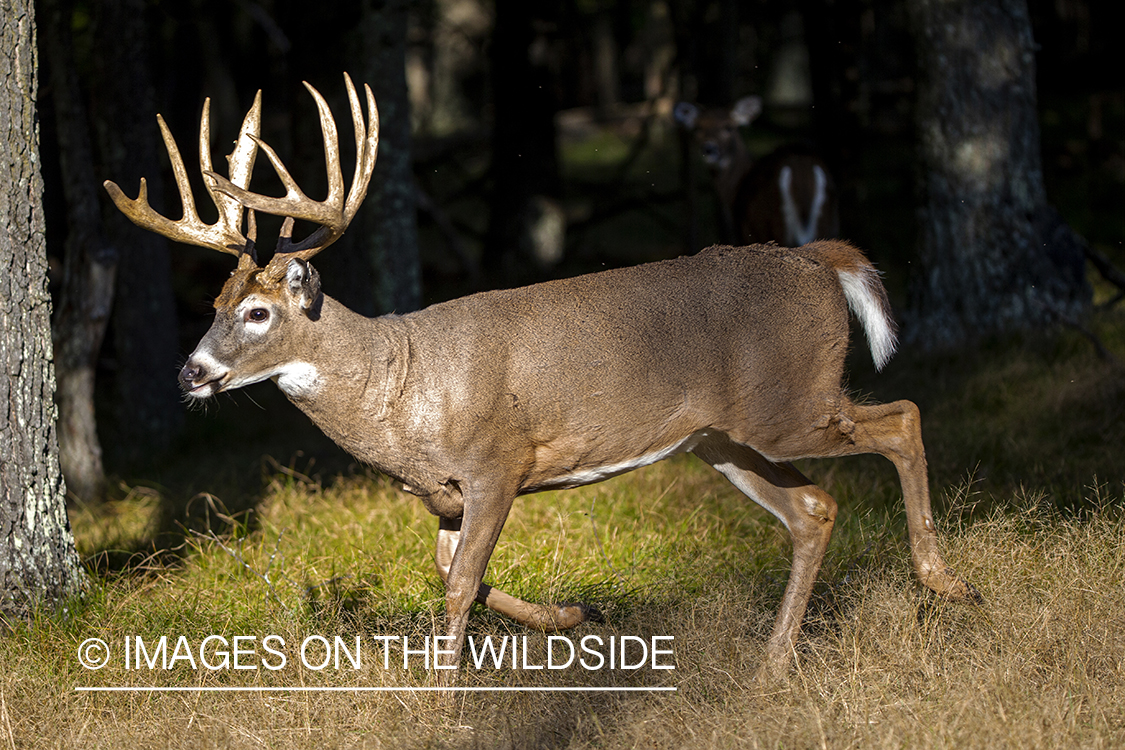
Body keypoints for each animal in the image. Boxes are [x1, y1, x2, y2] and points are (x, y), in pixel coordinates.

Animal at [670, 95, 841, 247]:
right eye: (698, 128)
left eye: (728, 127)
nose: (709, 149)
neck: (736, 186)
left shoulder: (746, 231)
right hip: (826, 221)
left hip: (778, 222)